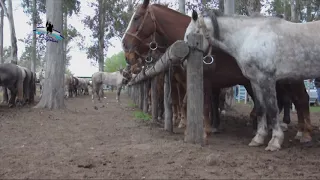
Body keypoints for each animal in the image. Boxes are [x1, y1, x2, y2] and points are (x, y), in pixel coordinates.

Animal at [121, 0, 312, 143]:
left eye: (136, 17)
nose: (125, 47)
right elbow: (188, 103)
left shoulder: (204, 81)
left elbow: (202, 105)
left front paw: (203, 130)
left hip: (288, 79)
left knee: (300, 99)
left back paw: (304, 133)